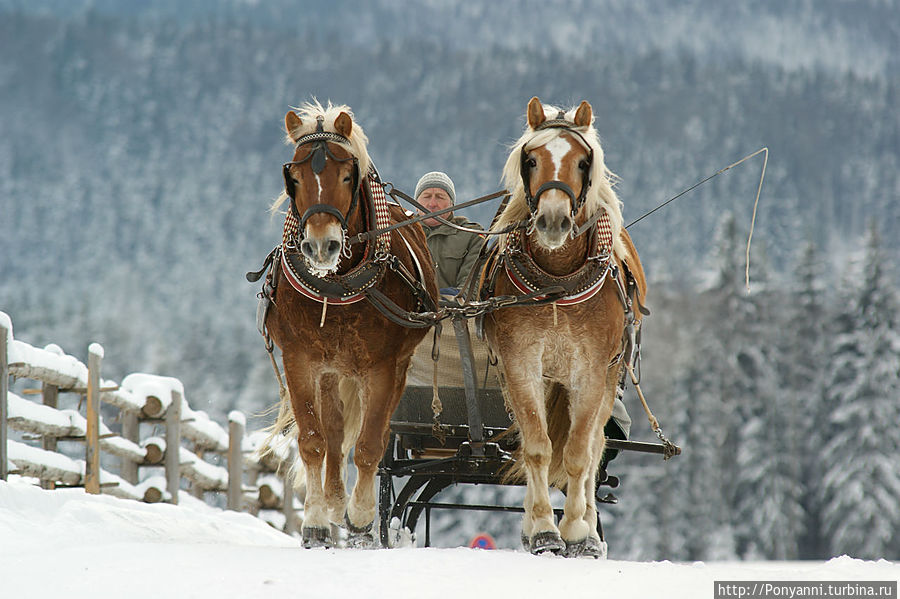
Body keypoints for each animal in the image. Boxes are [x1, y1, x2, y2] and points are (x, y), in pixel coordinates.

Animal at [258, 103, 438, 548]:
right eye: (294, 176)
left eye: (345, 175)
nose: (321, 246)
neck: (337, 286)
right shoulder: (300, 361)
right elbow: (314, 441)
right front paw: (317, 520)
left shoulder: (382, 369)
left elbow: (371, 444)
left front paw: (360, 518)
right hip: (331, 372)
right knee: (336, 436)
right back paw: (334, 500)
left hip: (394, 369)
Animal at [482, 97, 644, 556]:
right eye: (531, 159)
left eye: (584, 162)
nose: (553, 221)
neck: (557, 281)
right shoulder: (521, 364)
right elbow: (537, 446)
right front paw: (541, 529)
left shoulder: (590, 372)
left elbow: (577, 453)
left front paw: (575, 529)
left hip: (608, 379)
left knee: (594, 450)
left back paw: (587, 524)